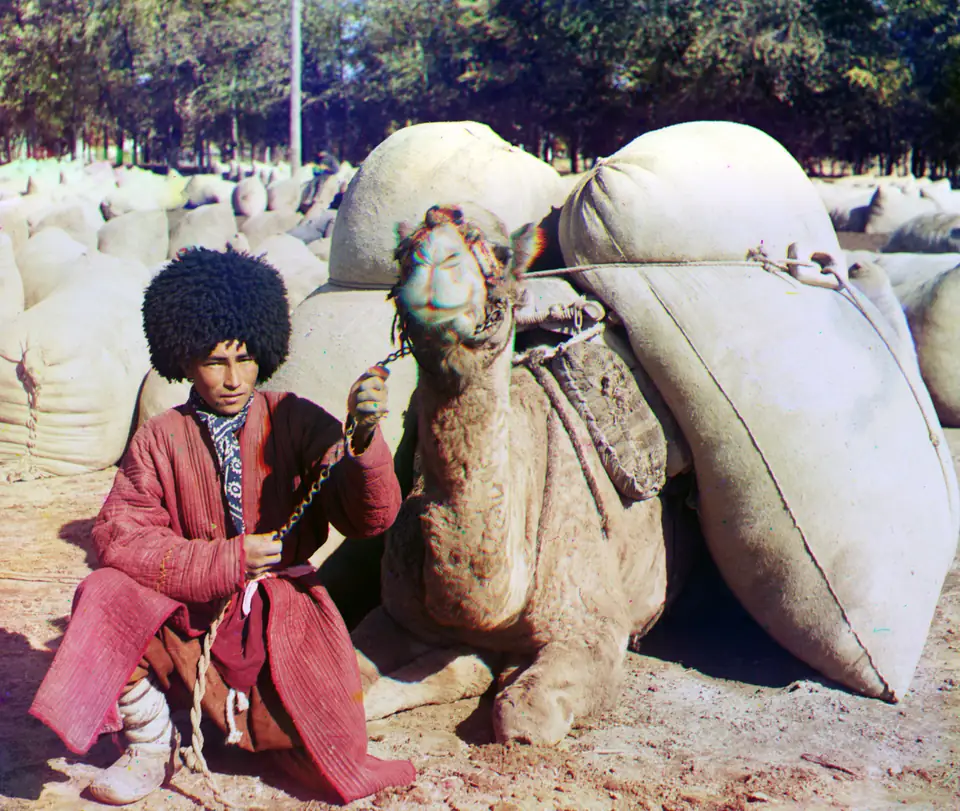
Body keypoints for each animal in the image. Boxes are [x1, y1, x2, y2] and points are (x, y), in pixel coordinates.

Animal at [350, 203, 690, 745]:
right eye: (401, 253)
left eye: (501, 253)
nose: (435, 264)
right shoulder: (394, 613)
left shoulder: (591, 625)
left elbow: (522, 714)